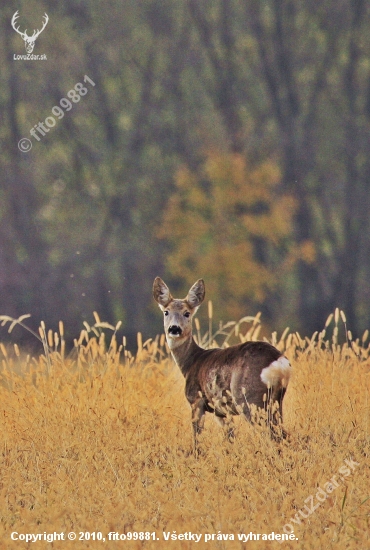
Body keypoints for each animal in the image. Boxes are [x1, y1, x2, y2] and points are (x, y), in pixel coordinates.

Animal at [153, 276, 292, 452]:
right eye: (166, 312)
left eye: (187, 313)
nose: (174, 329)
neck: (191, 363)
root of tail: (278, 363)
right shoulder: (221, 412)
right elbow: (231, 438)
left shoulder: (196, 400)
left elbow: (197, 439)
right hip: (277, 399)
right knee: (283, 434)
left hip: (250, 398)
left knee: (272, 434)